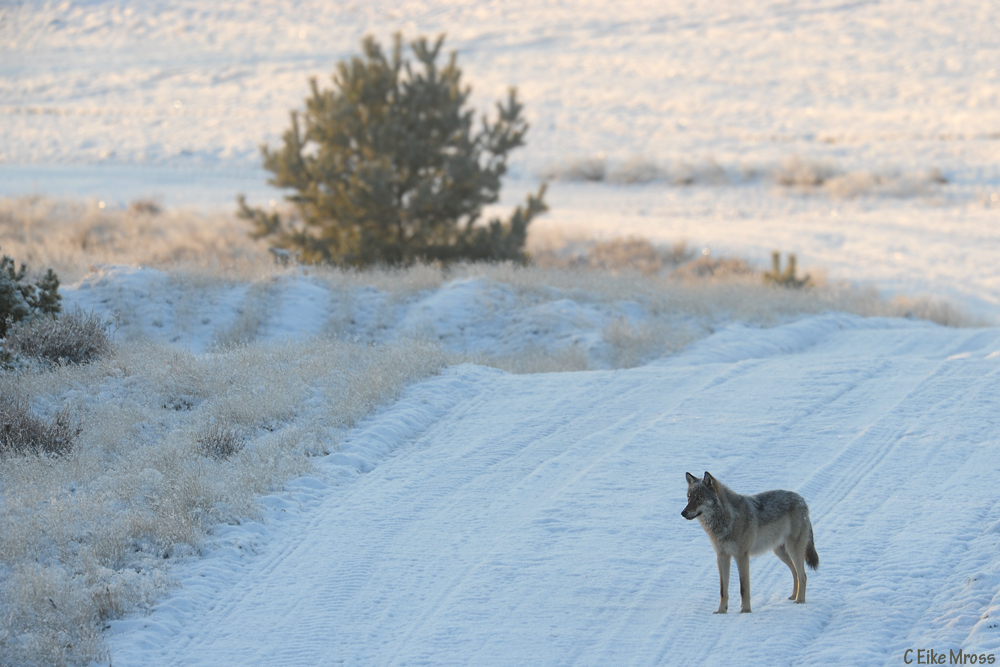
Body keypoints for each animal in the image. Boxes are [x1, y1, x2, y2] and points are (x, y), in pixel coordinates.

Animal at [680, 472, 820, 612]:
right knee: (795, 573)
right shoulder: (722, 557)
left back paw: (800, 601)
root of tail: (802, 499)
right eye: (689, 497)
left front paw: (745, 611)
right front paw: (721, 611)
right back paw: (793, 597)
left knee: (803, 576)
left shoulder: (742, 556)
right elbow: (723, 590)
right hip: (780, 553)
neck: (728, 519)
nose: (683, 513)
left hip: (793, 550)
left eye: (699, 497)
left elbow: (744, 588)